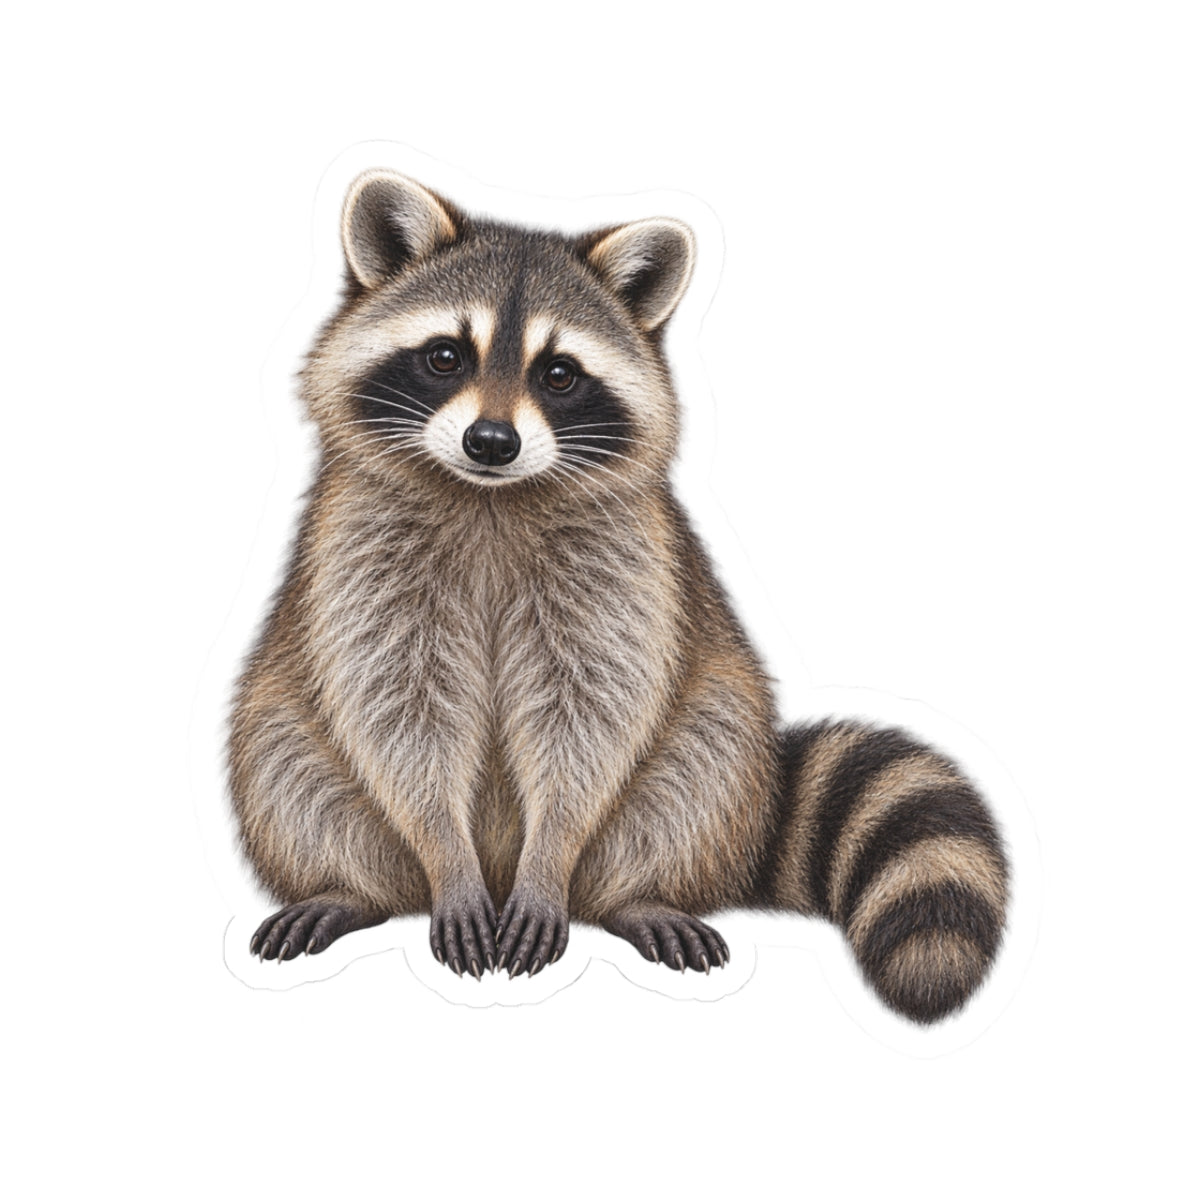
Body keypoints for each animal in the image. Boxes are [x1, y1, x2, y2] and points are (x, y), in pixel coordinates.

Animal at [230, 170, 1008, 1023]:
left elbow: (590, 717)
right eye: (444, 356)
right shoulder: (362, 560)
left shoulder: (622, 567)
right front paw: (445, 853)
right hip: (285, 730)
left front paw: (550, 854)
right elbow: (399, 713)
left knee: (698, 768)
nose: (491, 443)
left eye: (558, 374)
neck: (491, 497)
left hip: (717, 753)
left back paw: (637, 895)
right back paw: (350, 888)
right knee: (285, 768)